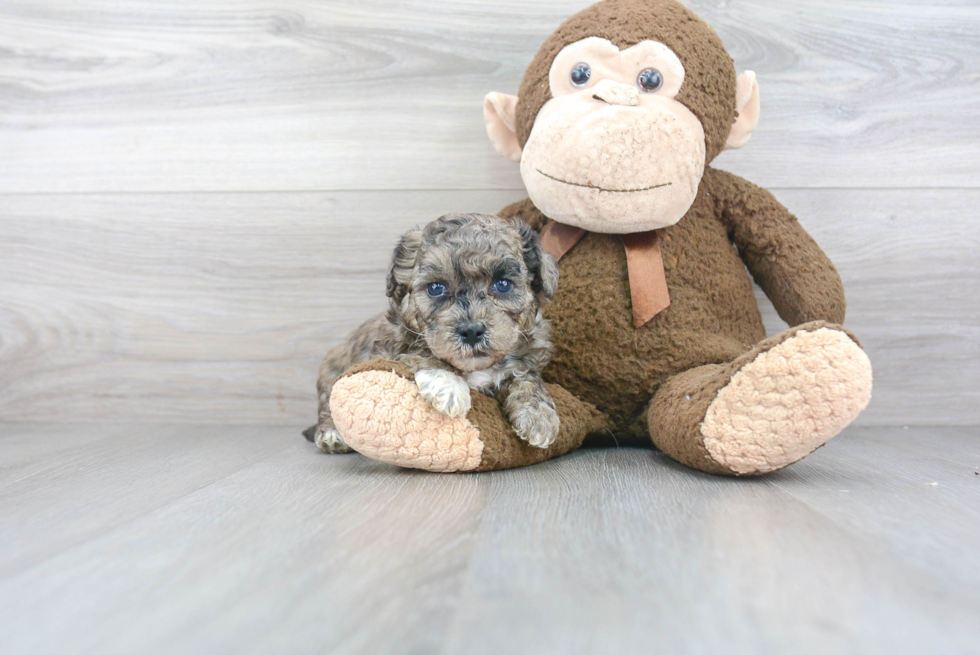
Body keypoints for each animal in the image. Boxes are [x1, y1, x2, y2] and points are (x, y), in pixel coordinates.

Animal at [306, 214, 568, 456]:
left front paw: (539, 417)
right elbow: (423, 353)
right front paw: (449, 386)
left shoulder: (525, 361)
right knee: (328, 405)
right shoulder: (390, 347)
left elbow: (527, 378)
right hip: (331, 375)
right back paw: (331, 435)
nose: (471, 331)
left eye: (503, 284)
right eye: (436, 288)